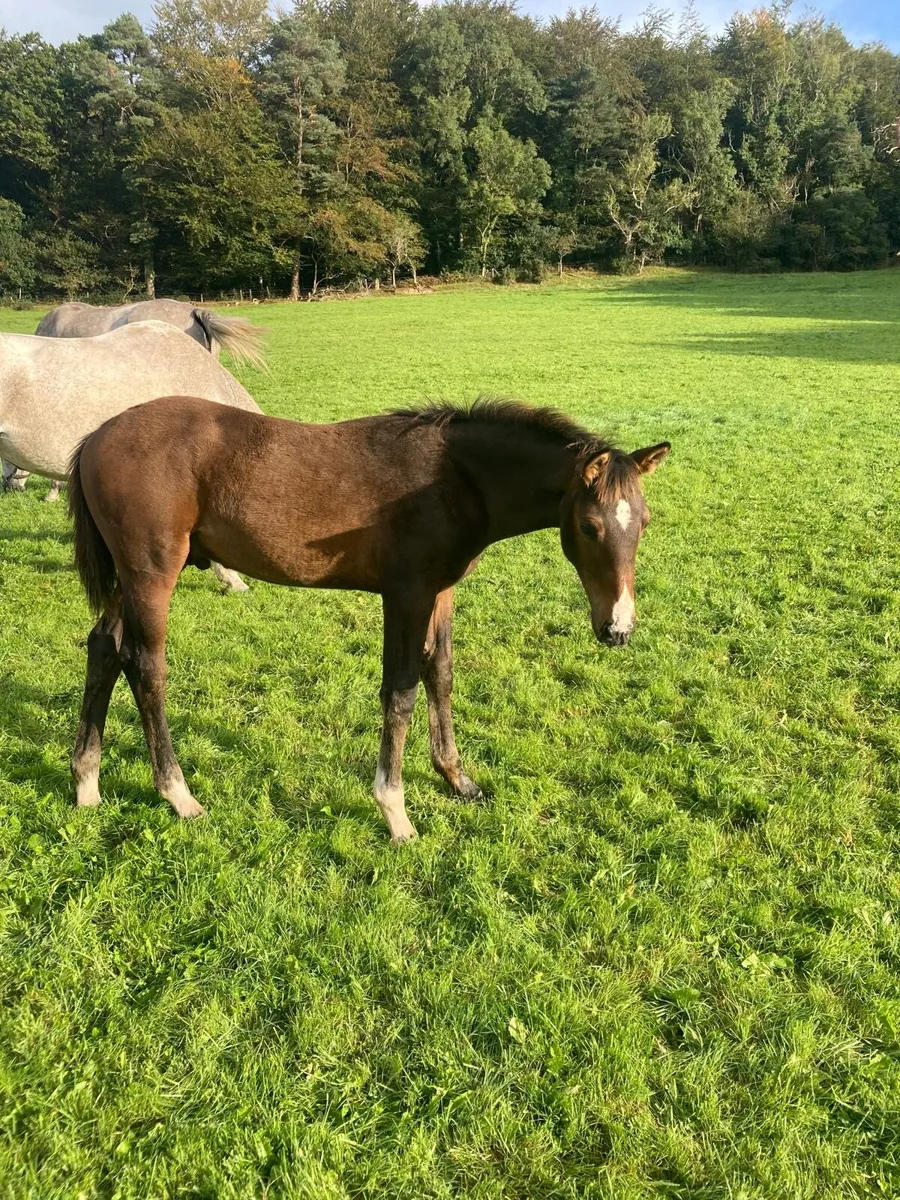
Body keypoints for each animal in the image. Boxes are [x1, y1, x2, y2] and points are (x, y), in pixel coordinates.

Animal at [67, 394, 671, 841]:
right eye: (590, 526)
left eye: (643, 522)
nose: (617, 629)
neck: (454, 478)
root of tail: (97, 436)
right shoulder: (406, 594)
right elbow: (400, 691)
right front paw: (395, 811)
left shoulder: (440, 592)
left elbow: (440, 674)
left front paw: (458, 780)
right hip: (152, 574)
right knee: (146, 667)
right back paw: (178, 794)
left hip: (127, 580)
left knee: (104, 649)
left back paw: (86, 782)